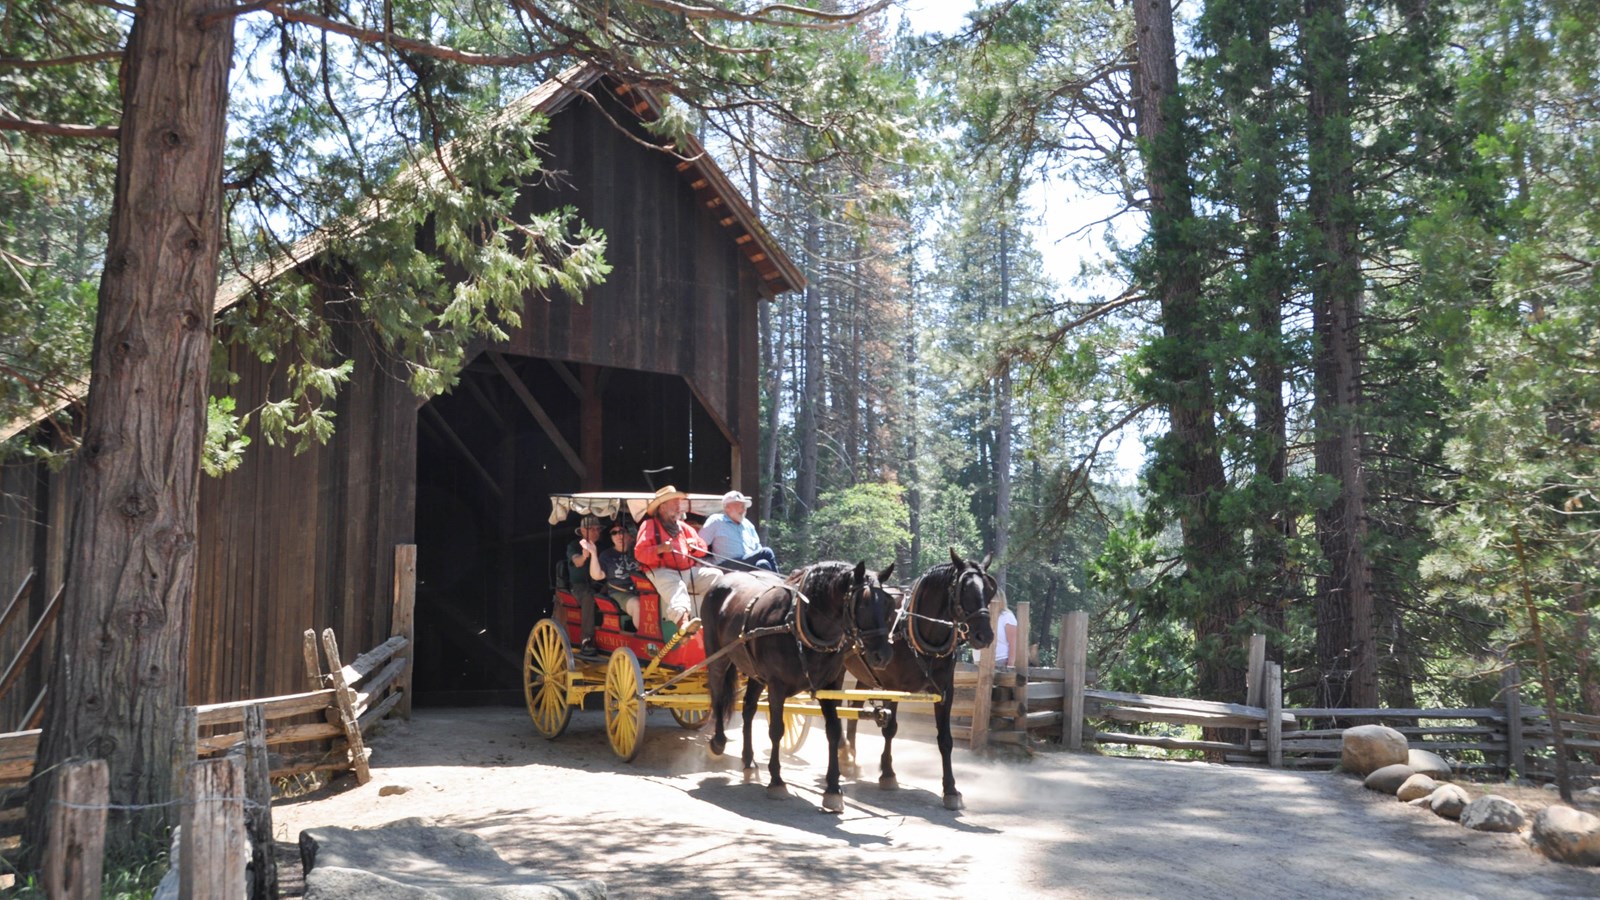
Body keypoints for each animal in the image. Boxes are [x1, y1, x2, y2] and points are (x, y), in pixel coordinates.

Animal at [704, 557, 896, 810]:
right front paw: (776, 781)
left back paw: (749, 761)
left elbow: (833, 731)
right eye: (862, 604)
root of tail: (724, 578)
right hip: (717, 656)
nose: (883, 656)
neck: (797, 625)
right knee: (717, 695)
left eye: (888, 605)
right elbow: (777, 730)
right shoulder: (776, 685)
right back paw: (718, 742)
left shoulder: (829, 685)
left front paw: (833, 788)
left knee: (748, 709)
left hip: (755, 673)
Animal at [844, 547, 992, 807]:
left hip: (865, 675)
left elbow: (945, 739)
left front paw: (950, 789)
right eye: (965, 590)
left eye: (989, 590)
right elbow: (890, 728)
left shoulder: (944, 691)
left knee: (853, 709)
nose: (985, 635)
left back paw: (853, 760)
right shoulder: (891, 687)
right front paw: (888, 773)